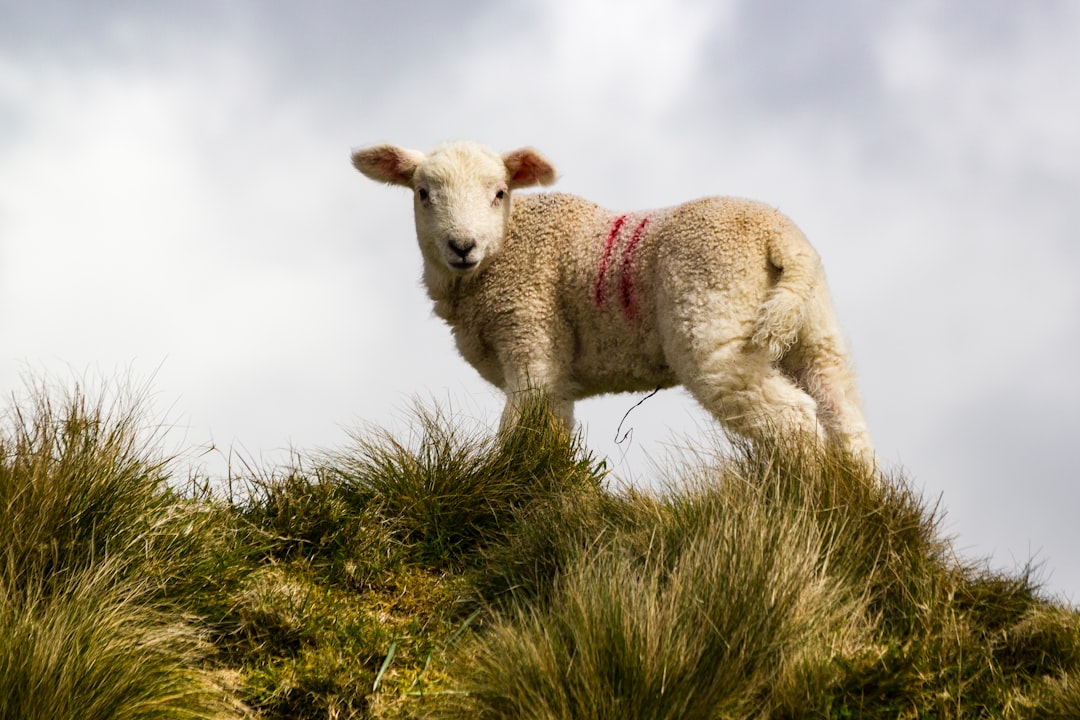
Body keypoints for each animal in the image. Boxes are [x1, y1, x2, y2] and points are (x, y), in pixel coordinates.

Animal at [349, 142, 872, 462]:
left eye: (499, 193)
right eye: (423, 193)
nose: (462, 246)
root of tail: (778, 238)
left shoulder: (530, 334)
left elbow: (519, 431)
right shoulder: (555, 375)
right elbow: (548, 434)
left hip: (715, 322)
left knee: (794, 418)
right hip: (814, 329)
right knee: (845, 421)